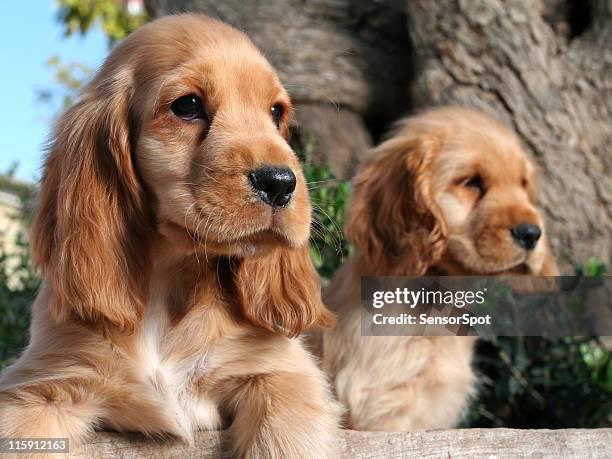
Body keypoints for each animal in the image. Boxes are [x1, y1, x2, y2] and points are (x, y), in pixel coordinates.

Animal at [0, 14, 340, 459]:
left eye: (276, 111)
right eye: (188, 106)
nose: (281, 183)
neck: (167, 279)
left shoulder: (282, 372)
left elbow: (283, 437)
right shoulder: (44, 383)